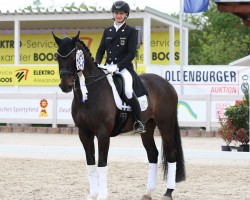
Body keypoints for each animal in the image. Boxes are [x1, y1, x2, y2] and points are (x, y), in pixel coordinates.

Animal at [52, 31, 186, 200]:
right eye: (57, 57)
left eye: (73, 56)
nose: (65, 86)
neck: (91, 92)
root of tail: (167, 84)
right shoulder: (84, 133)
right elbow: (91, 163)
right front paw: (93, 195)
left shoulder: (103, 133)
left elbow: (102, 163)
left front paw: (102, 195)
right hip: (147, 127)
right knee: (152, 154)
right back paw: (148, 192)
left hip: (165, 124)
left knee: (171, 153)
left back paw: (168, 192)